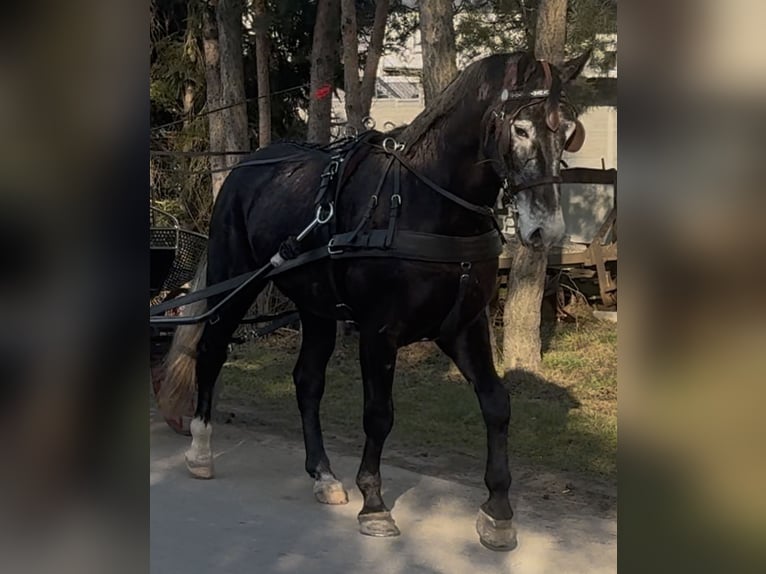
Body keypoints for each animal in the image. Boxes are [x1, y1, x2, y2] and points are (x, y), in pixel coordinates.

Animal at [160, 51, 592, 552]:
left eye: (570, 131)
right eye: (520, 129)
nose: (548, 231)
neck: (427, 204)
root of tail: (250, 164)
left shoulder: (465, 326)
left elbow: (497, 404)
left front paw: (498, 512)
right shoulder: (378, 332)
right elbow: (379, 414)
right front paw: (375, 503)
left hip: (316, 307)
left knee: (307, 380)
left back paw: (323, 475)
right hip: (237, 280)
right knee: (211, 351)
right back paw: (200, 448)